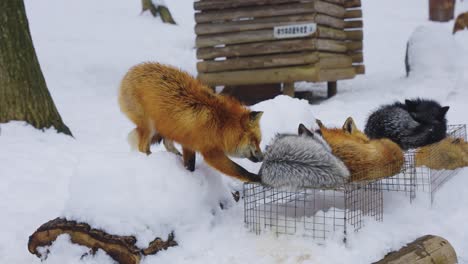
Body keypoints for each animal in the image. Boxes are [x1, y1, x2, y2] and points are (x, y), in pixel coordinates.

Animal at [118, 62, 264, 182]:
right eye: (254, 141)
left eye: (259, 141)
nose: (262, 158)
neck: (221, 123)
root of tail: (131, 71)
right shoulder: (211, 153)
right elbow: (241, 170)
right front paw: (260, 179)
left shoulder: (188, 143)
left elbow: (189, 163)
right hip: (149, 127)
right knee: (143, 147)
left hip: (168, 126)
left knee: (166, 143)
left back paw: (174, 156)